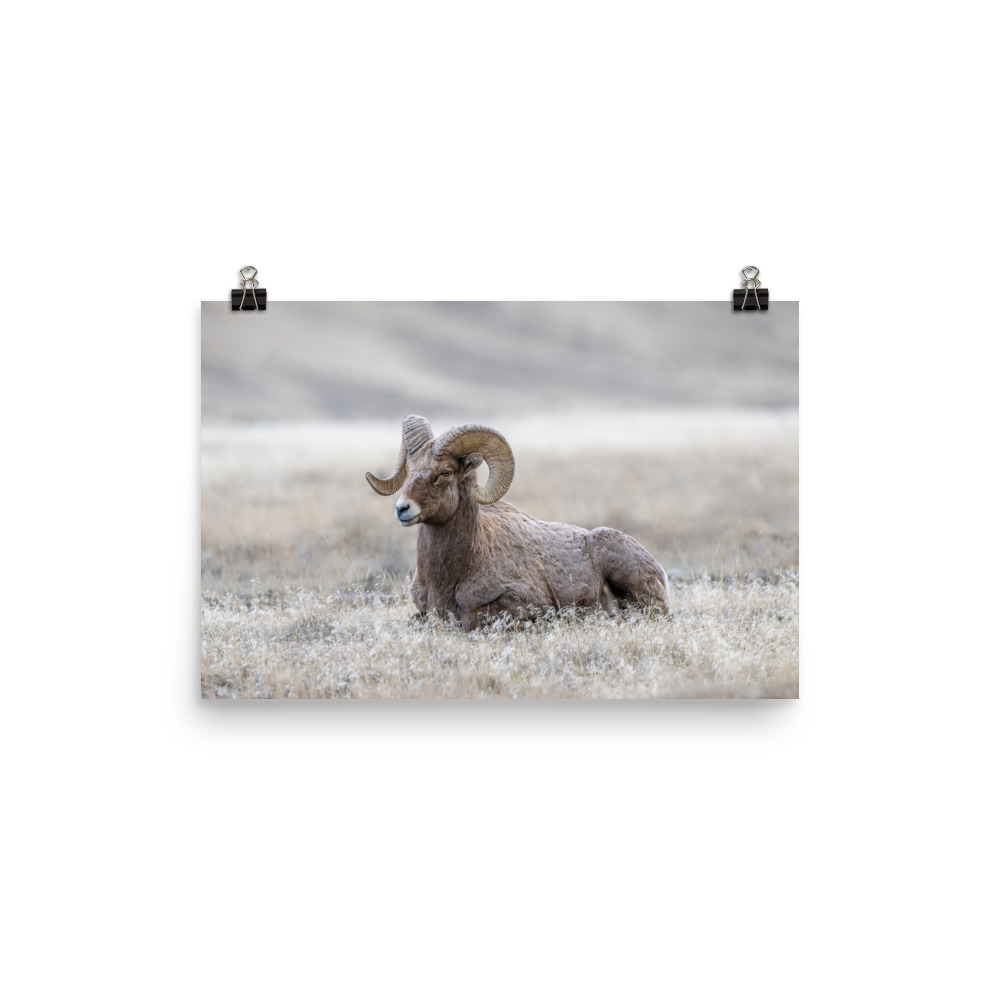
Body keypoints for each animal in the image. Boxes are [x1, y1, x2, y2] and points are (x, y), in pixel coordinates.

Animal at [366, 415, 669, 631]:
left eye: (446, 472)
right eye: (409, 470)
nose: (402, 509)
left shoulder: (522, 604)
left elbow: (470, 620)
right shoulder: (423, 611)